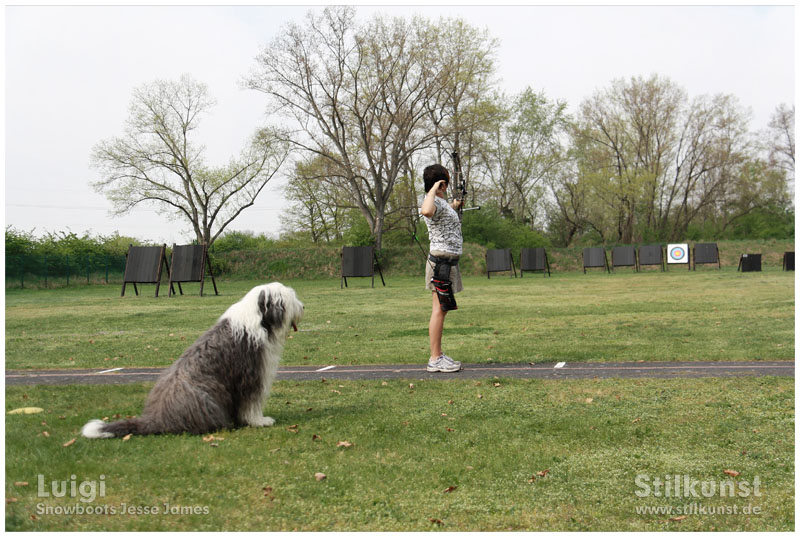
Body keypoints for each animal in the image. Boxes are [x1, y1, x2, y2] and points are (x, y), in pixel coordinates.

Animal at [82, 282, 304, 438]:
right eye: (290, 298)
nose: (303, 306)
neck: (259, 320)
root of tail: (155, 419)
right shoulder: (250, 375)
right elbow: (251, 402)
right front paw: (260, 421)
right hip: (207, 394)